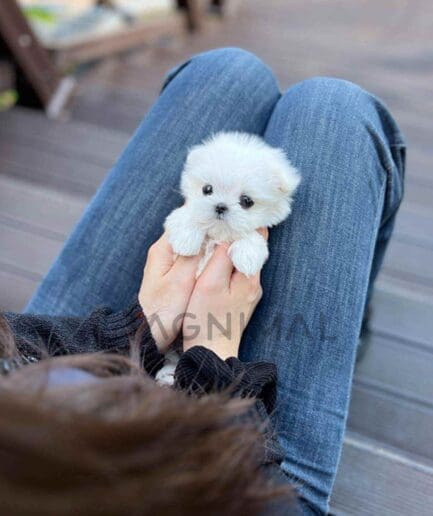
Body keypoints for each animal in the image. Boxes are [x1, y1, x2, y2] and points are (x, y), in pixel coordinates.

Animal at [164, 132, 300, 277]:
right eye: (207, 189)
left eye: (246, 201)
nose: (220, 206)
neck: (218, 235)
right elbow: (186, 216)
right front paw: (186, 239)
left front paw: (248, 254)